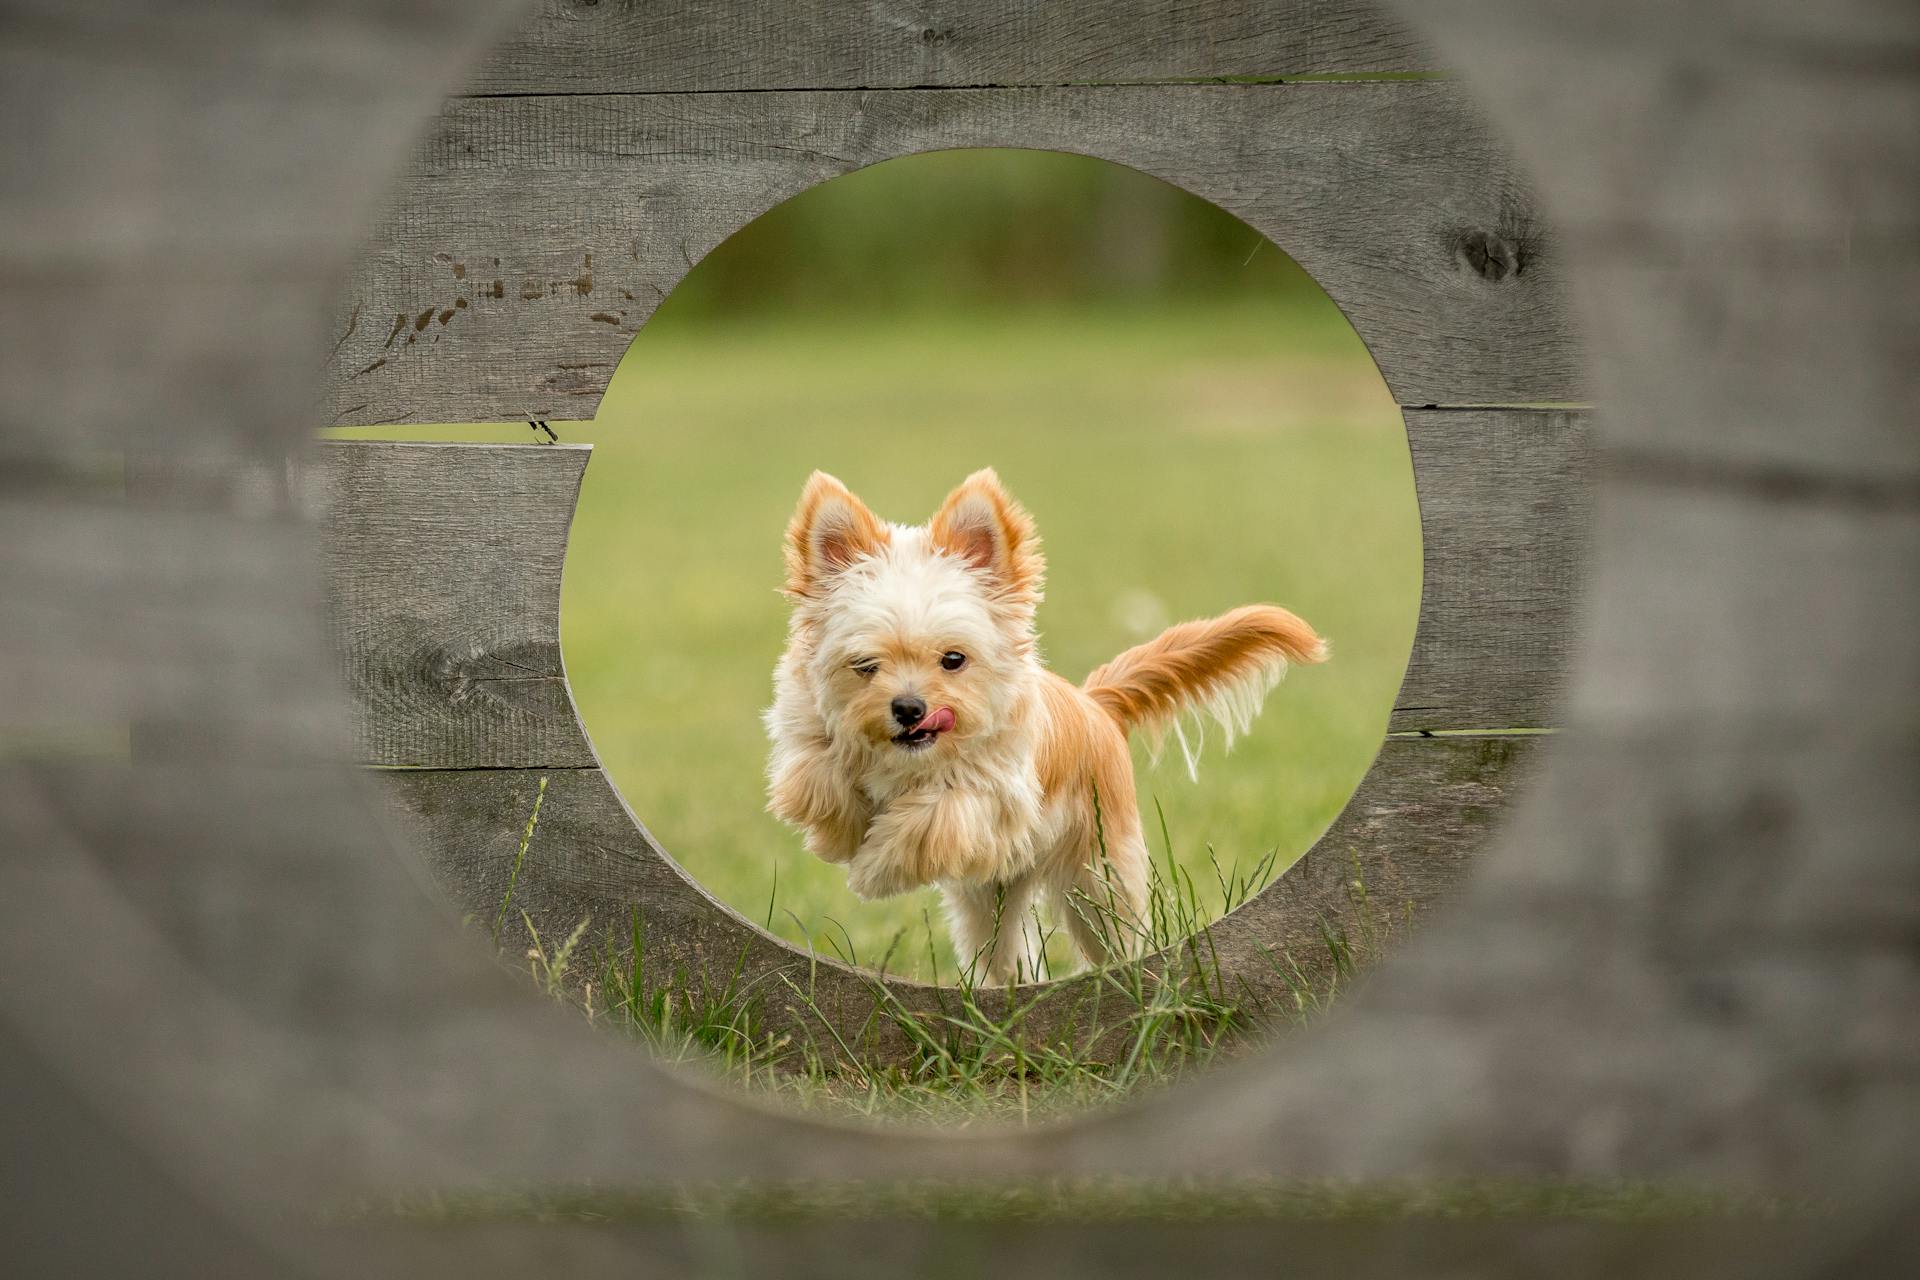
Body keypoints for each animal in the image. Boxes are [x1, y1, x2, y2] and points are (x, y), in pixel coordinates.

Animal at [760, 470, 1320, 982]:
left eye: (953, 659)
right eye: (864, 665)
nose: (909, 708)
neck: (911, 759)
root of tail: (1096, 705)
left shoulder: (999, 791)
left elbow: (934, 813)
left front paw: (876, 866)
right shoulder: (807, 740)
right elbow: (819, 776)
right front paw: (845, 833)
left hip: (1098, 876)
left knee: (1109, 932)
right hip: (990, 899)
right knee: (1005, 949)